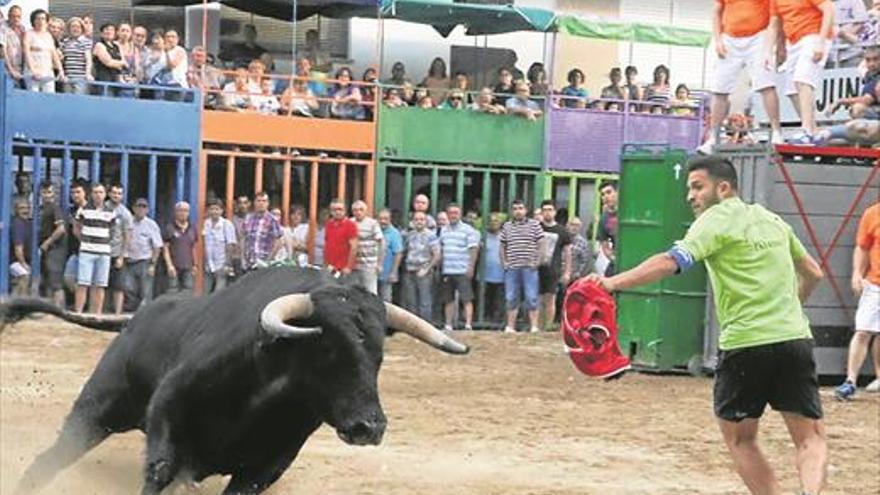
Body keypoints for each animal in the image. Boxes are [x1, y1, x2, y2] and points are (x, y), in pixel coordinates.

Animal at [0, 270, 470, 494]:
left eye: (378, 356)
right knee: (49, 460)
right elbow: (157, 469)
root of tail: (139, 316)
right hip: (97, 410)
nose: (369, 427)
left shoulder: (268, 466)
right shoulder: (167, 413)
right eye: (327, 349)